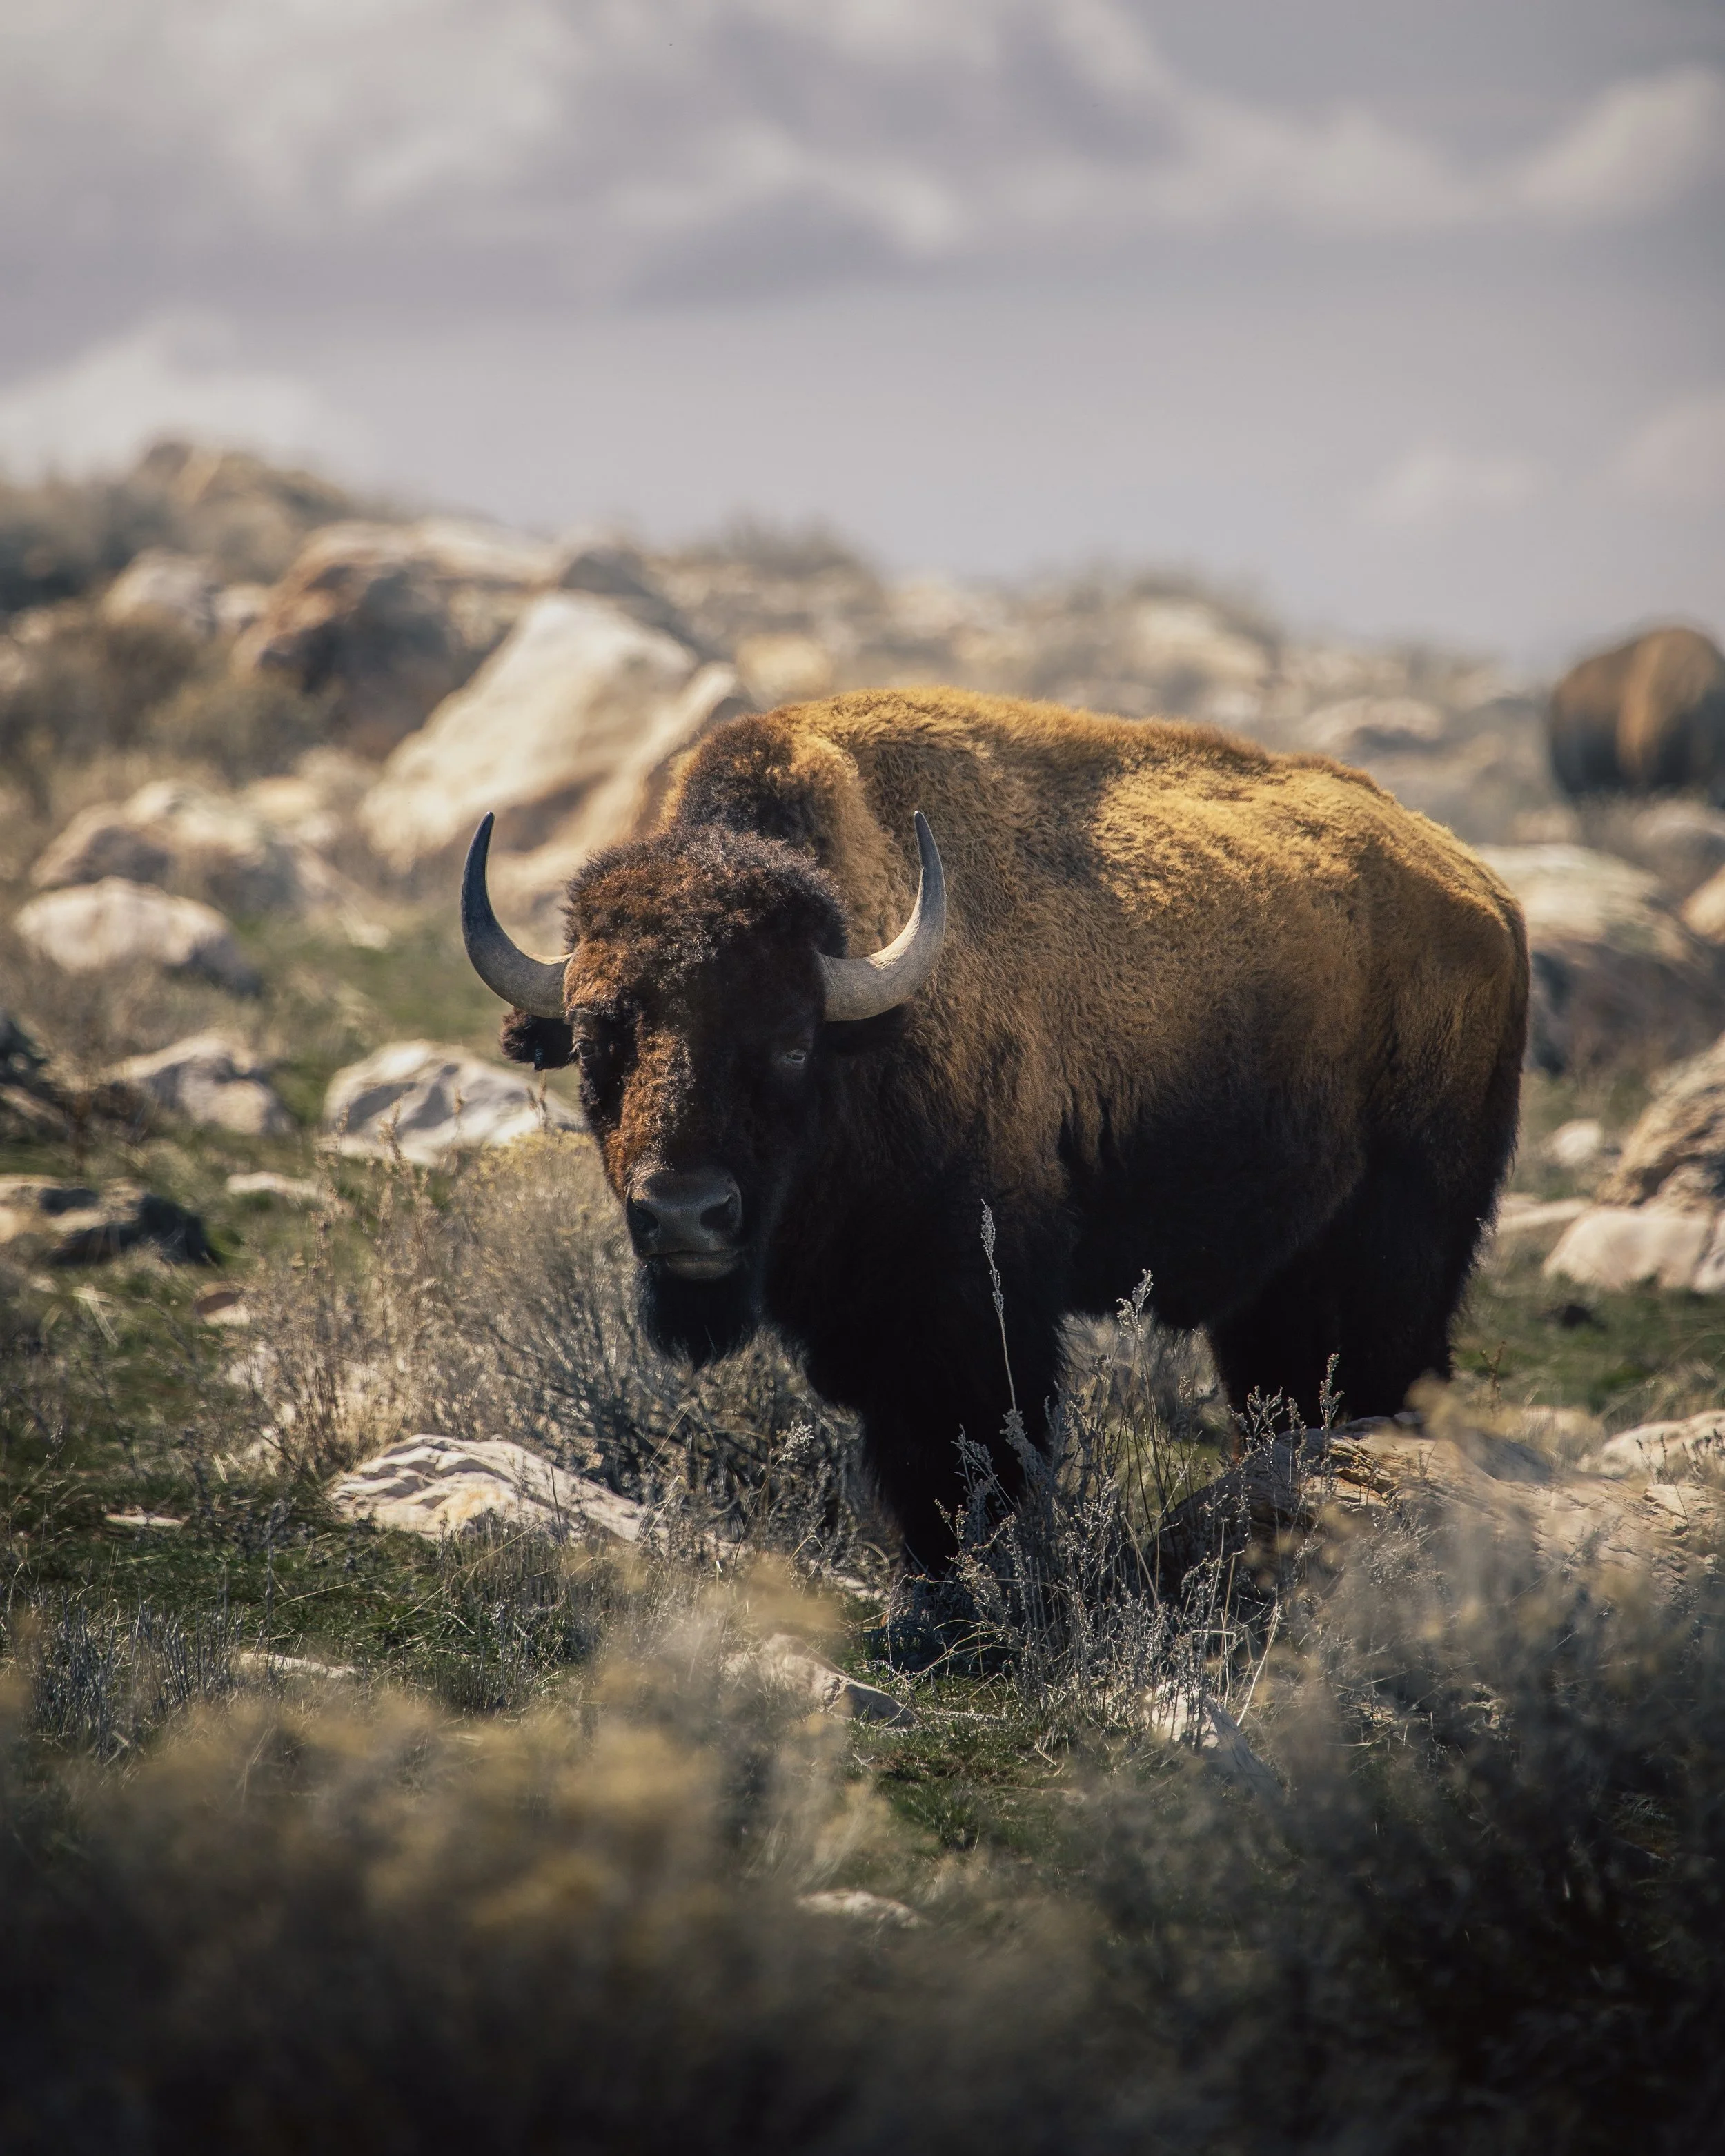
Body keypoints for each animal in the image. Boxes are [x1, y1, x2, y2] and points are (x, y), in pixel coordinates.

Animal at [464, 690, 1528, 1564]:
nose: (686, 1215)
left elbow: (966, 1449)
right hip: (1277, 1282)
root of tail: (1486, 894)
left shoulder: (971, 1297)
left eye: (792, 1043)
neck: (869, 1020)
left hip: (1407, 1240)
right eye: (596, 1036)